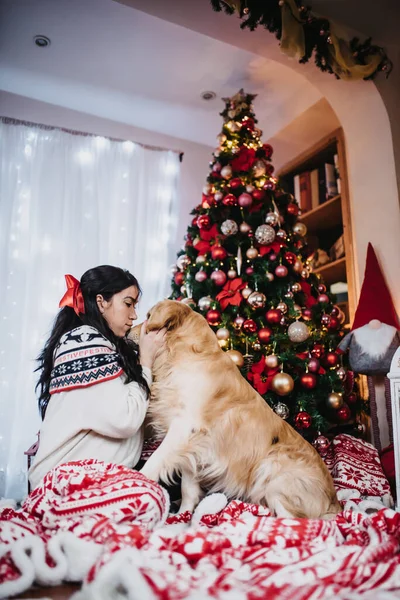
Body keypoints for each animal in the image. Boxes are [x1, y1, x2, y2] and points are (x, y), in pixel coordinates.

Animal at [131, 302, 340, 516]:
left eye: (148, 316)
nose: (128, 332)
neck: (183, 354)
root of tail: (334, 501)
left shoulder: (185, 426)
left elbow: (154, 461)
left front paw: (137, 481)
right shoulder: (195, 443)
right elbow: (188, 486)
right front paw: (184, 515)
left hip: (271, 468)